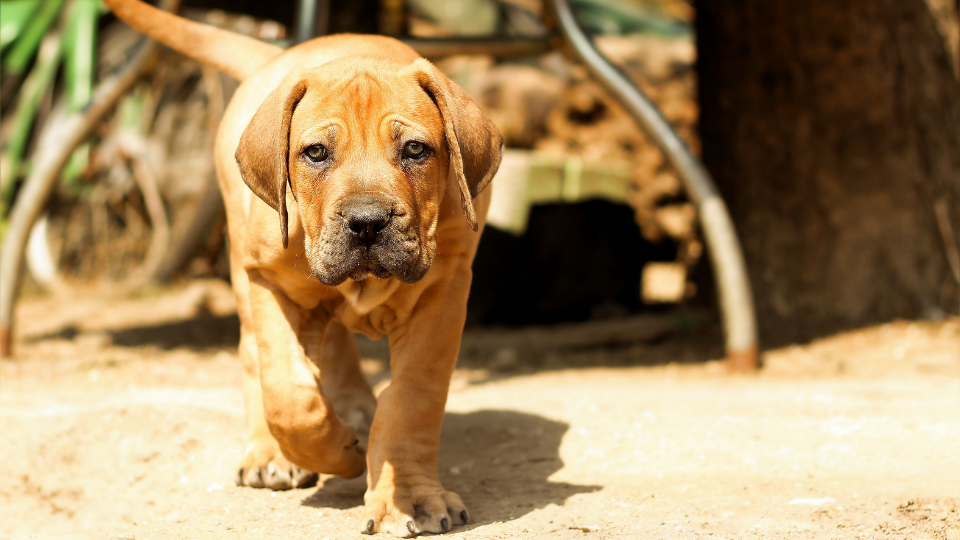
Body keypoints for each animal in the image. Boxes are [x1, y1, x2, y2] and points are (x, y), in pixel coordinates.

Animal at [107, 1, 502, 536]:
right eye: (316, 153)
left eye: (415, 150)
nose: (366, 222)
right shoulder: (270, 283)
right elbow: (289, 392)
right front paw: (337, 451)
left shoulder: (441, 295)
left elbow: (411, 402)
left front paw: (409, 497)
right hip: (243, 267)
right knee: (255, 356)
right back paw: (273, 453)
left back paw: (354, 407)